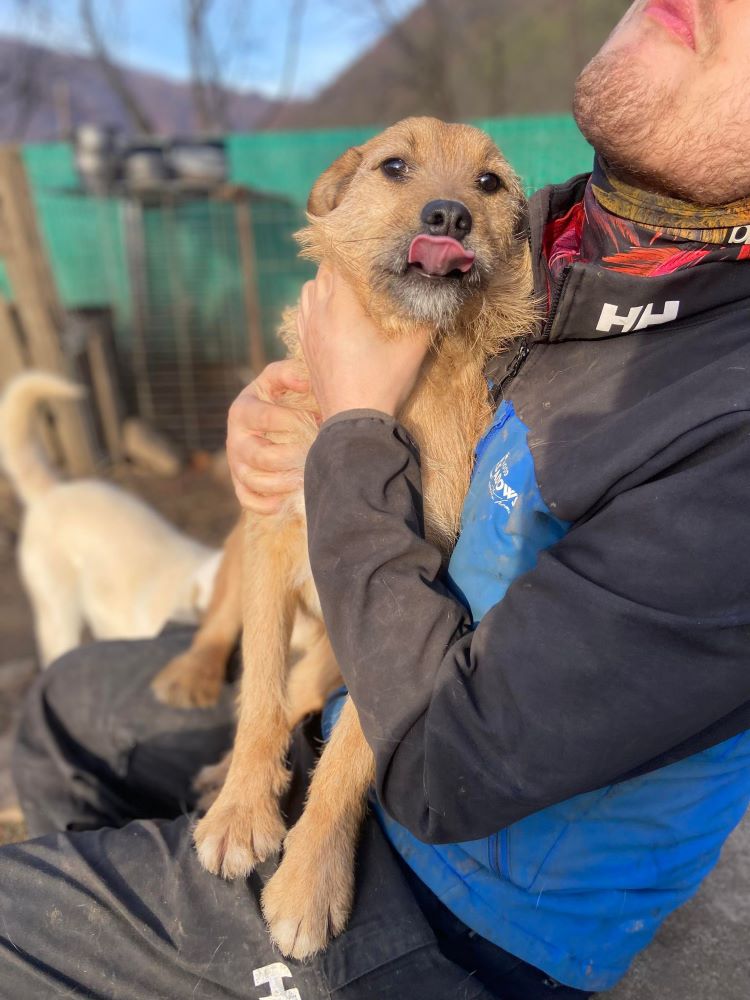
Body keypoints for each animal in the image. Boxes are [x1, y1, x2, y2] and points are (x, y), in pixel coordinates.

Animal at [188, 117, 536, 960]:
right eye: (394, 166)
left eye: (489, 184)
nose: (448, 217)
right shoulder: (275, 538)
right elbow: (258, 695)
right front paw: (240, 811)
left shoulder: (400, 617)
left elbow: (348, 753)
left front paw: (310, 879)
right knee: (235, 651)